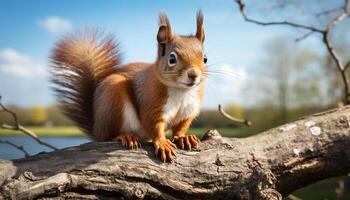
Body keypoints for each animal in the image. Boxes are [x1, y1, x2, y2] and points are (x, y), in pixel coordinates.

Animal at [50, 10, 206, 162]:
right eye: (172, 59)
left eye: (205, 58)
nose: (193, 74)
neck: (181, 90)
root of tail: (96, 128)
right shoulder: (152, 103)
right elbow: (154, 125)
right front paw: (162, 143)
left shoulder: (189, 111)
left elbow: (181, 127)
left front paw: (183, 138)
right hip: (112, 99)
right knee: (107, 136)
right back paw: (125, 136)